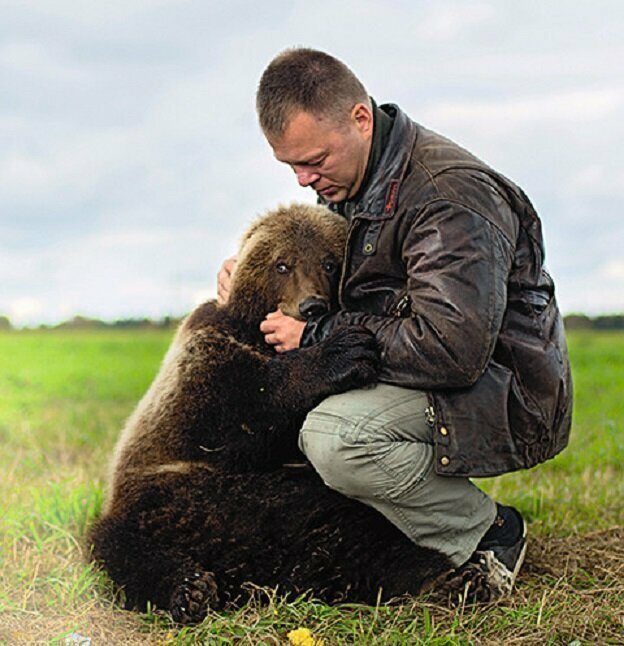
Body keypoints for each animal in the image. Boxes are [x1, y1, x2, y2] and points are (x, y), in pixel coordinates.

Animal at [89, 204, 448, 628]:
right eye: (282, 265)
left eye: (329, 262)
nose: (312, 306)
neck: (261, 336)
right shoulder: (207, 367)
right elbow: (239, 414)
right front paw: (344, 351)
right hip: (159, 503)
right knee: (121, 547)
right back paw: (189, 589)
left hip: (296, 510)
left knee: (360, 535)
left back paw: (446, 575)